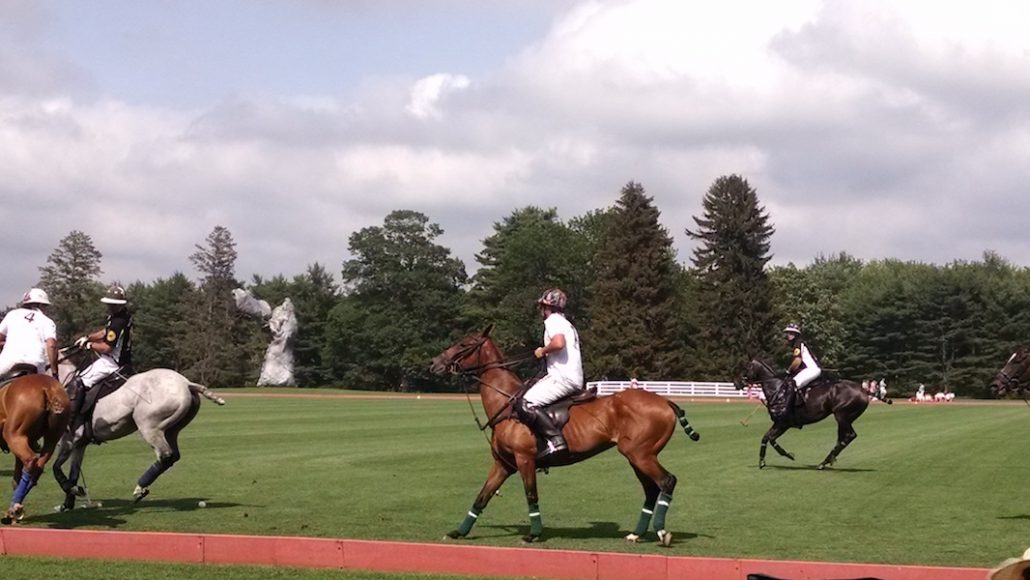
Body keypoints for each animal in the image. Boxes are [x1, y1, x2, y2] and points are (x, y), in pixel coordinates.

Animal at [0, 372, 70, 527]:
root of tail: (49, 388)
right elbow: (16, 478)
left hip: (14, 434)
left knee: (30, 460)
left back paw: (14, 508)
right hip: (51, 438)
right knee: (37, 466)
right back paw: (15, 509)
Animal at [52, 358, 225, 513]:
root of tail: (186, 383)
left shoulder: (69, 441)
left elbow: (56, 468)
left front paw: (74, 491)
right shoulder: (79, 444)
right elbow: (73, 473)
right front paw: (67, 503)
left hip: (149, 426)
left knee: (165, 455)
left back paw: (140, 488)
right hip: (171, 429)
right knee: (172, 455)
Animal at [426, 327, 700, 548]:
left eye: (464, 344)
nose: (434, 363)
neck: (506, 403)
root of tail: (666, 402)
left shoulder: (525, 459)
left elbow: (531, 495)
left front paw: (533, 534)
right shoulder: (503, 464)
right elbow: (482, 497)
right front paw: (458, 532)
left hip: (641, 454)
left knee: (667, 481)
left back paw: (662, 532)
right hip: (636, 456)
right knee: (651, 489)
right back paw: (636, 534)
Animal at [733, 360, 885, 469]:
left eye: (746, 368)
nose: (736, 383)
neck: (777, 391)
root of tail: (863, 390)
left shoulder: (783, 423)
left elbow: (770, 438)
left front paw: (788, 455)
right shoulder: (779, 423)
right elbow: (766, 437)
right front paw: (763, 462)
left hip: (842, 416)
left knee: (850, 435)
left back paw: (823, 463)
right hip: (845, 418)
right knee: (842, 437)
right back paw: (828, 460)